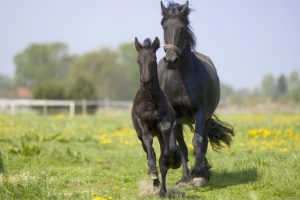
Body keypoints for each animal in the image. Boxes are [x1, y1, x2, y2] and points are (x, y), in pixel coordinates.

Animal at [131, 37, 180, 195]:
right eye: (138, 60)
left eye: (154, 59)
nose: (145, 81)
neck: (150, 102)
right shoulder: (142, 125)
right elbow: (148, 142)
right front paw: (152, 172)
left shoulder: (164, 121)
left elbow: (166, 131)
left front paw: (171, 160)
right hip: (141, 138)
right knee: (148, 152)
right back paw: (156, 184)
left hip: (159, 135)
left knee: (163, 161)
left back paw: (163, 189)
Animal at [157, 0, 234, 187]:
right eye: (164, 26)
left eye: (183, 27)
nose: (171, 60)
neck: (181, 81)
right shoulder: (174, 116)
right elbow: (179, 146)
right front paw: (181, 171)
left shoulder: (200, 112)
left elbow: (197, 142)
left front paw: (199, 175)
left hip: (205, 119)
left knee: (203, 142)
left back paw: (202, 172)